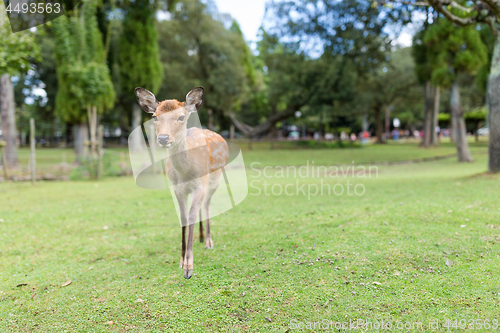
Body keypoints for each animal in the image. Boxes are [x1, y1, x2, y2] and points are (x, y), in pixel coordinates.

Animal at [137, 85, 230, 278]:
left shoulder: (201, 184)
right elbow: (183, 217)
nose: (163, 138)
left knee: (207, 205)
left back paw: (208, 240)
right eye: (154, 116)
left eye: (181, 117)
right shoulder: (177, 188)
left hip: (214, 181)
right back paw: (200, 237)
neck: (185, 173)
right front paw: (181, 262)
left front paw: (189, 268)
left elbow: (192, 215)